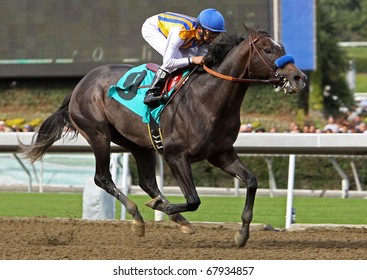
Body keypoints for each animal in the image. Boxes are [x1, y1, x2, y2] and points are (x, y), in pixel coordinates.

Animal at [20, 27, 308, 247]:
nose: (299, 77)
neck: (208, 99)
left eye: (281, 47)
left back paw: (173, 218)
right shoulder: (176, 155)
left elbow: (251, 181)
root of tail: (81, 83)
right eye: (268, 50)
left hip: (138, 143)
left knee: (147, 181)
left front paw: (242, 234)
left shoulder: (221, 153)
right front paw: (164, 208)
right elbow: (193, 200)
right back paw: (139, 216)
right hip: (98, 134)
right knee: (102, 178)